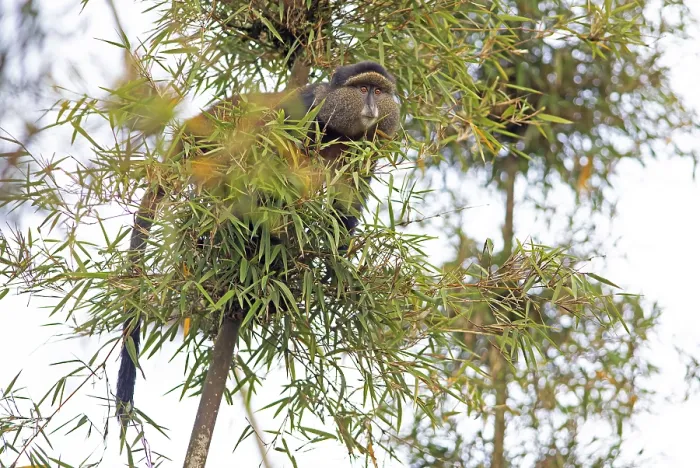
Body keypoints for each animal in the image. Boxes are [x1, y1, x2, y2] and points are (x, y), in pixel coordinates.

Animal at [115, 61, 400, 424]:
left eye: (378, 90)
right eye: (362, 89)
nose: (372, 106)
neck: (341, 130)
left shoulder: (367, 151)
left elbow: (346, 205)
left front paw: (338, 260)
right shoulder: (301, 113)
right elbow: (270, 158)